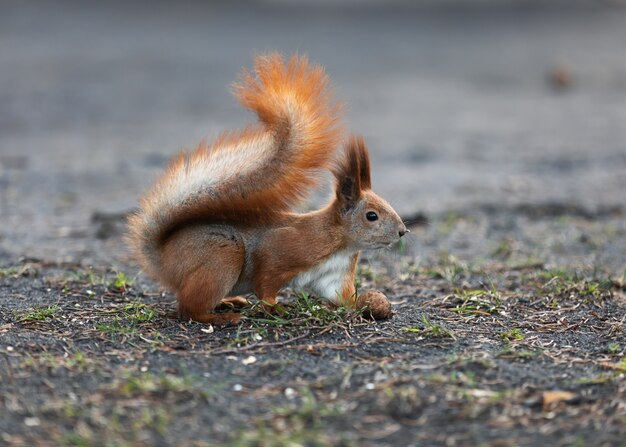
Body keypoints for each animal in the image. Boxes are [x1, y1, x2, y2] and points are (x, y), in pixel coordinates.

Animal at [129, 53, 408, 326]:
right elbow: (266, 283)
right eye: (371, 215)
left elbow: (342, 297)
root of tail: (164, 257)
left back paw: (229, 302)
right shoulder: (281, 250)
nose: (403, 232)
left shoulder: (334, 276)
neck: (341, 243)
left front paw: (369, 303)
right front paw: (276, 309)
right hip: (221, 260)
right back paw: (224, 317)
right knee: (188, 308)